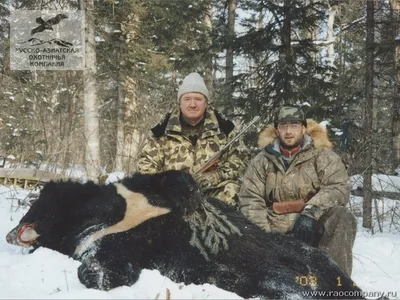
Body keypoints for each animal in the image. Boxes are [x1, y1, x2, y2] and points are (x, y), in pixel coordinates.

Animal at [6, 170, 362, 298]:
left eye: (35, 207)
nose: (11, 233)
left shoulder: (137, 194)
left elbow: (173, 180)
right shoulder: (103, 241)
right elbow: (108, 261)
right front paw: (97, 273)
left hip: (306, 257)